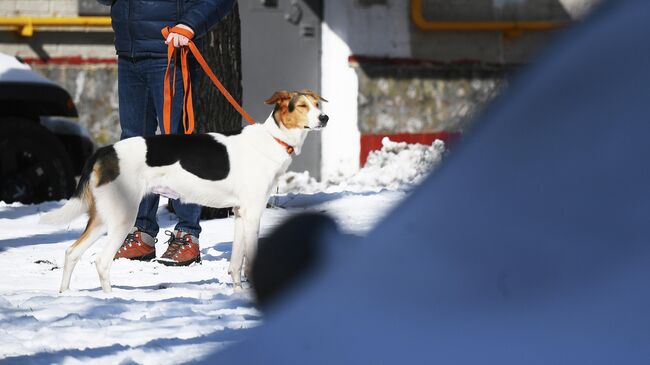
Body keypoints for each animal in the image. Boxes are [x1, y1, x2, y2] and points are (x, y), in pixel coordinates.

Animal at [40, 89, 326, 292]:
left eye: (317, 104)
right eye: (302, 106)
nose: (325, 117)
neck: (273, 139)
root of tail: (105, 150)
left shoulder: (240, 213)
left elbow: (236, 263)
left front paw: (237, 292)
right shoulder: (254, 213)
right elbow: (249, 259)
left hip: (102, 218)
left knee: (71, 252)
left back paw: (65, 295)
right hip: (123, 217)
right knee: (101, 261)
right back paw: (111, 299)